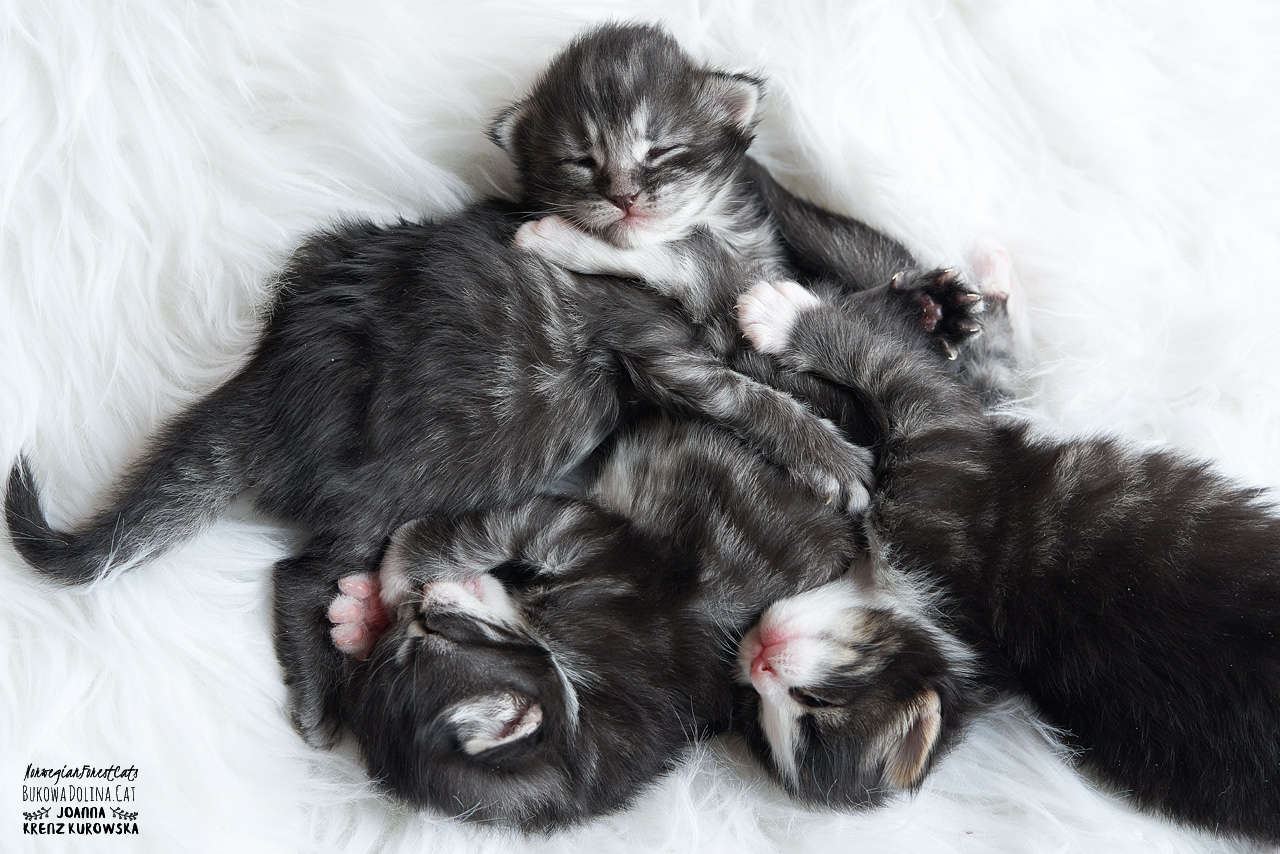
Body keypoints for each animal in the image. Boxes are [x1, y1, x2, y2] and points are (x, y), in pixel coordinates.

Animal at [733, 264, 1280, 843]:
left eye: (814, 708)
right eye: (754, 712)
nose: (757, 663)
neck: (964, 640)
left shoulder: (940, 471)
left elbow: (895, 366)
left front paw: (785, 316)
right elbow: (948, 374)